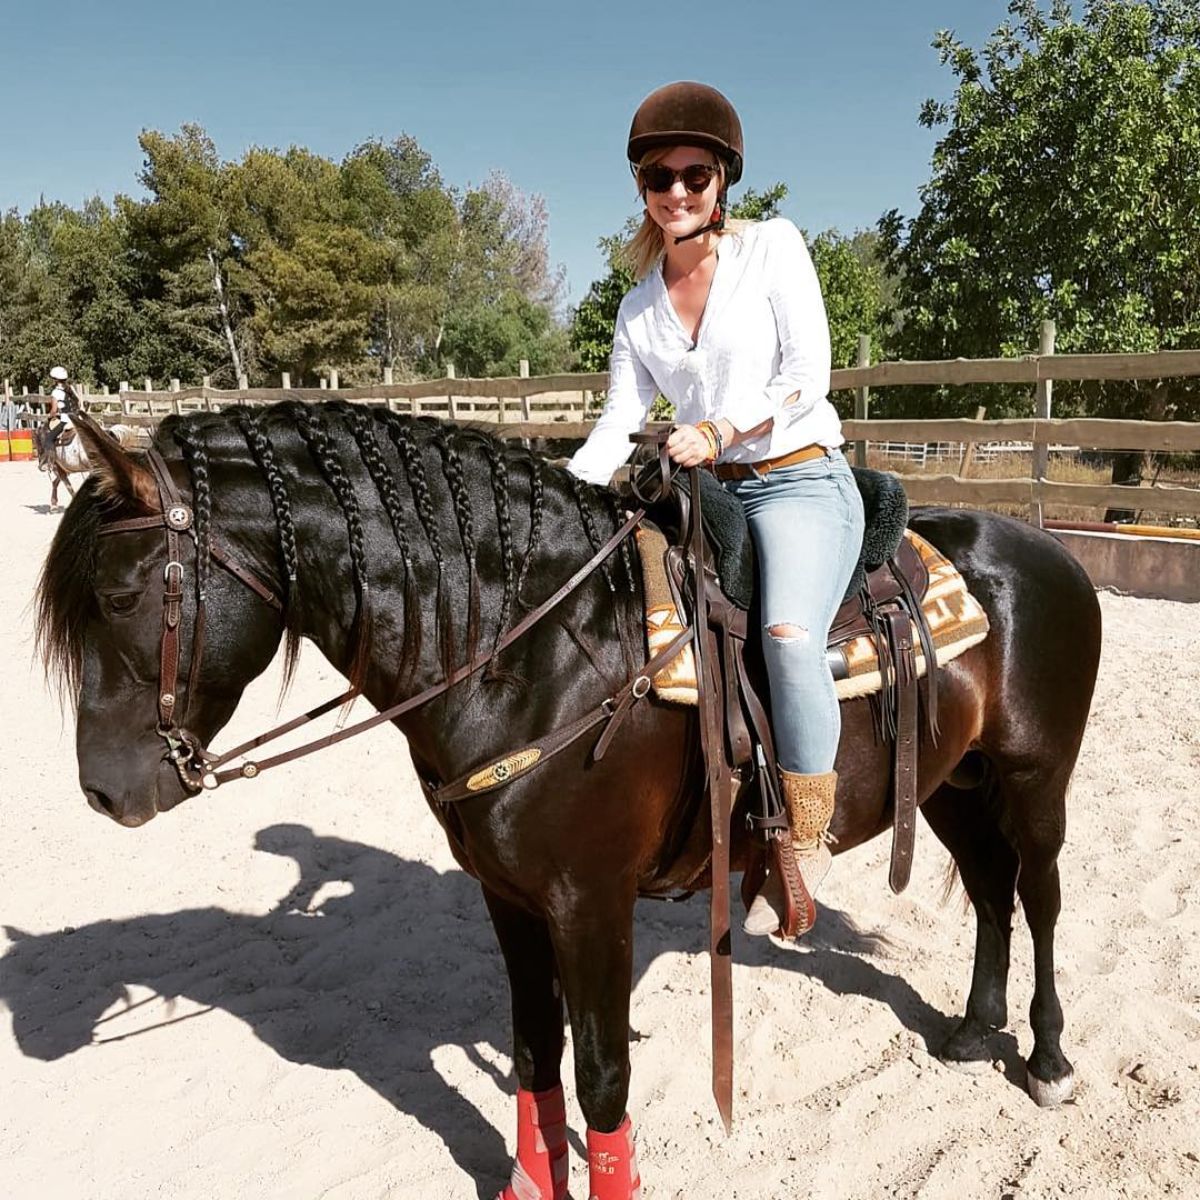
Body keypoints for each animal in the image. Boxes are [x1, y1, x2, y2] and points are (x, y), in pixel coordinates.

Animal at [39, 403, 1104, 1200]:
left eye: (122, 596)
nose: (101, 790)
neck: (531, 649)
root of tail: (1046, 550)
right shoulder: (510, 900)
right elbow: (533, 1053)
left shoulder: (591, 905)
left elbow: (600, 1079)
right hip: (953, 783)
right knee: (991, 891)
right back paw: (972, 1027)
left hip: (1035, 779)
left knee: (1043, 898)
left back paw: (1048, 1058)